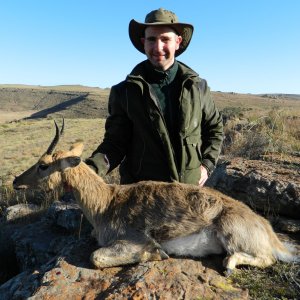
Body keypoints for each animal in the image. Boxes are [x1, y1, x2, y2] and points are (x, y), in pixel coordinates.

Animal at [12, 120, 298, 274]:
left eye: (43, 165)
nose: (16, 181)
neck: (106, 202)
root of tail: (267, 229)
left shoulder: (131, 241)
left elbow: (97, 257)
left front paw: (158, 253)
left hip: (232, 235)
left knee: (266, 258)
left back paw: (228, 265)